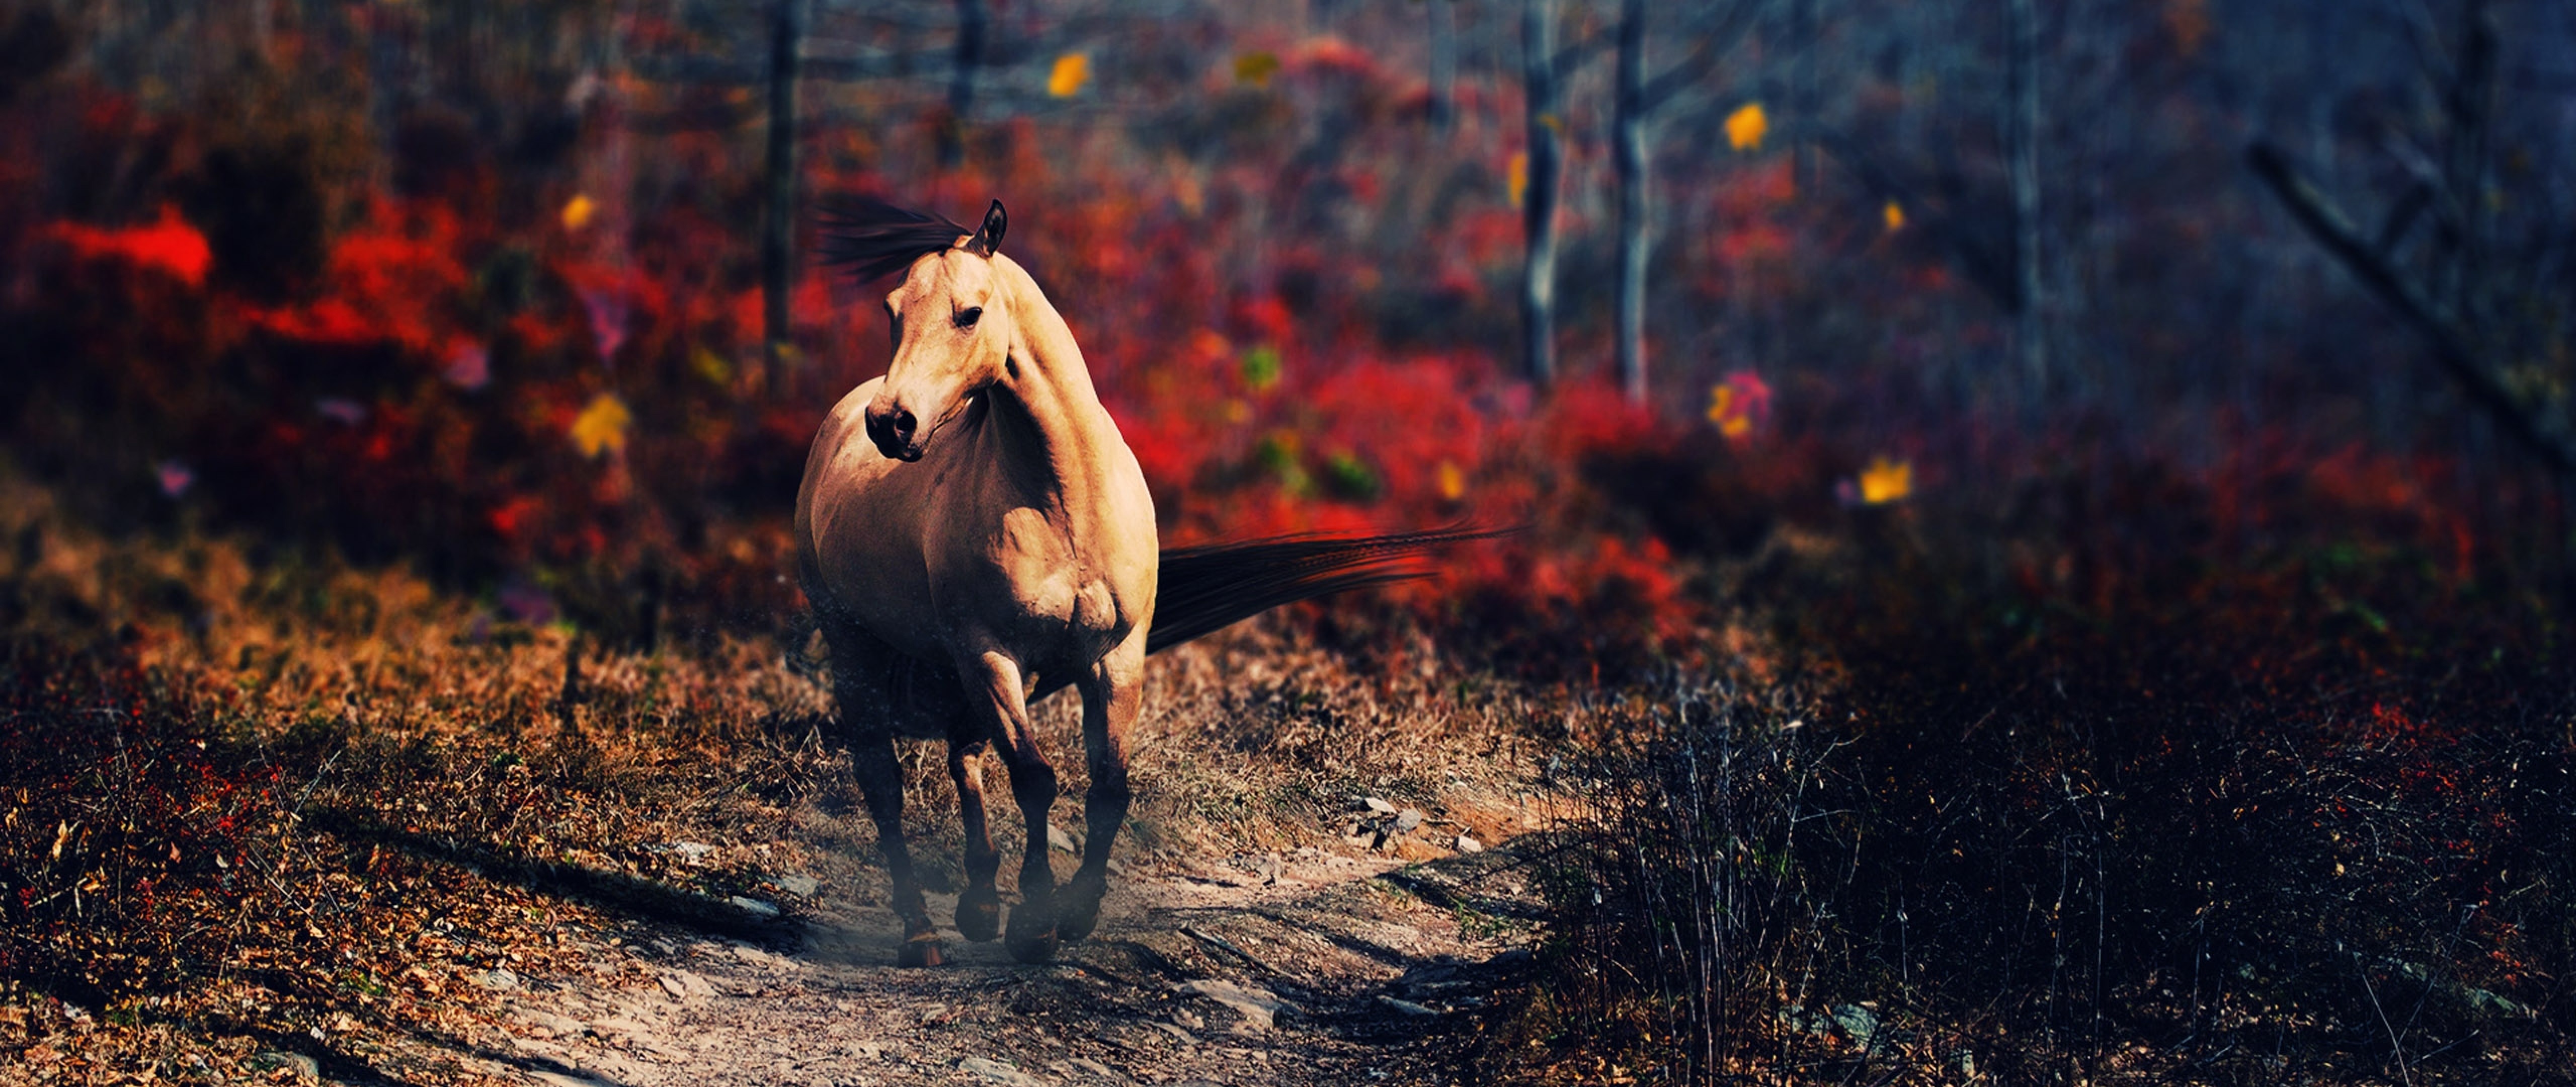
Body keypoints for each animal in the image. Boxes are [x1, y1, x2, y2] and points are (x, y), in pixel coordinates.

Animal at [797, 197, 1493, 966]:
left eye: (968, 313)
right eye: (893, 311)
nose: (892, 424)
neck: (1063, 498)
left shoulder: (1113, 656)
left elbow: (1108, 788)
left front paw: (1073, 912)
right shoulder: (992, 652)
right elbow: (1036, 779)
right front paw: (1035, 922)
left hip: (958, 664)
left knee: (964, 756)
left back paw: (977, 906)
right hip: (859, 644)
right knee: (884, 781)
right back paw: (922, 933)